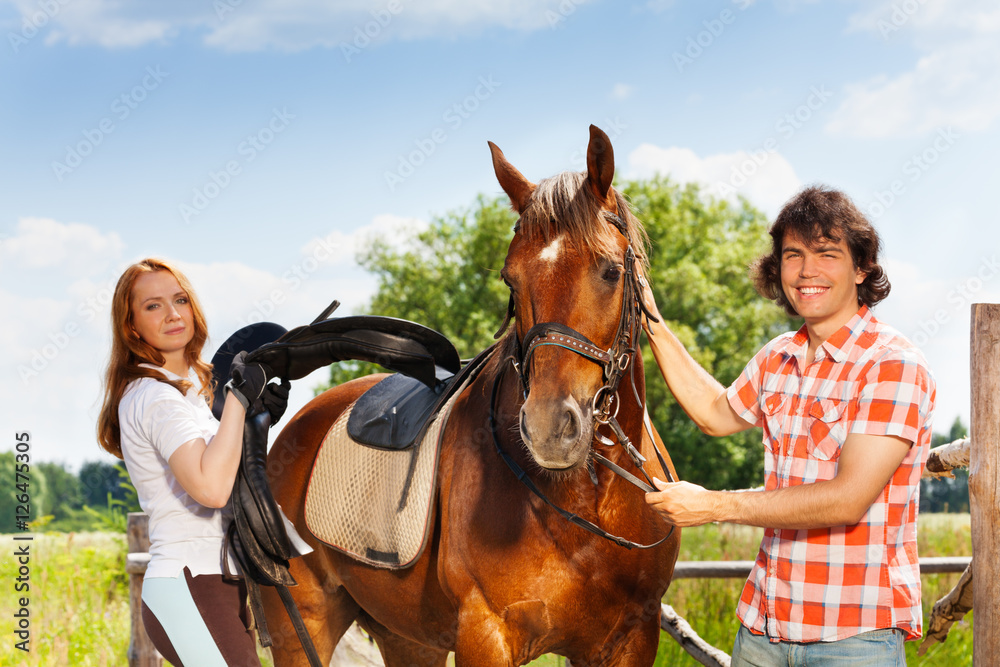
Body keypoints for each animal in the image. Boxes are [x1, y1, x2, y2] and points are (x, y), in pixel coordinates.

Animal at [262, 126, 684, 667]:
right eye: (511, 278)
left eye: (611, 271)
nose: (549, 428)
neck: (589, 502)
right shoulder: (486, 635)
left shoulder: (631, 639)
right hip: (302, 626)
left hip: (406, 638)